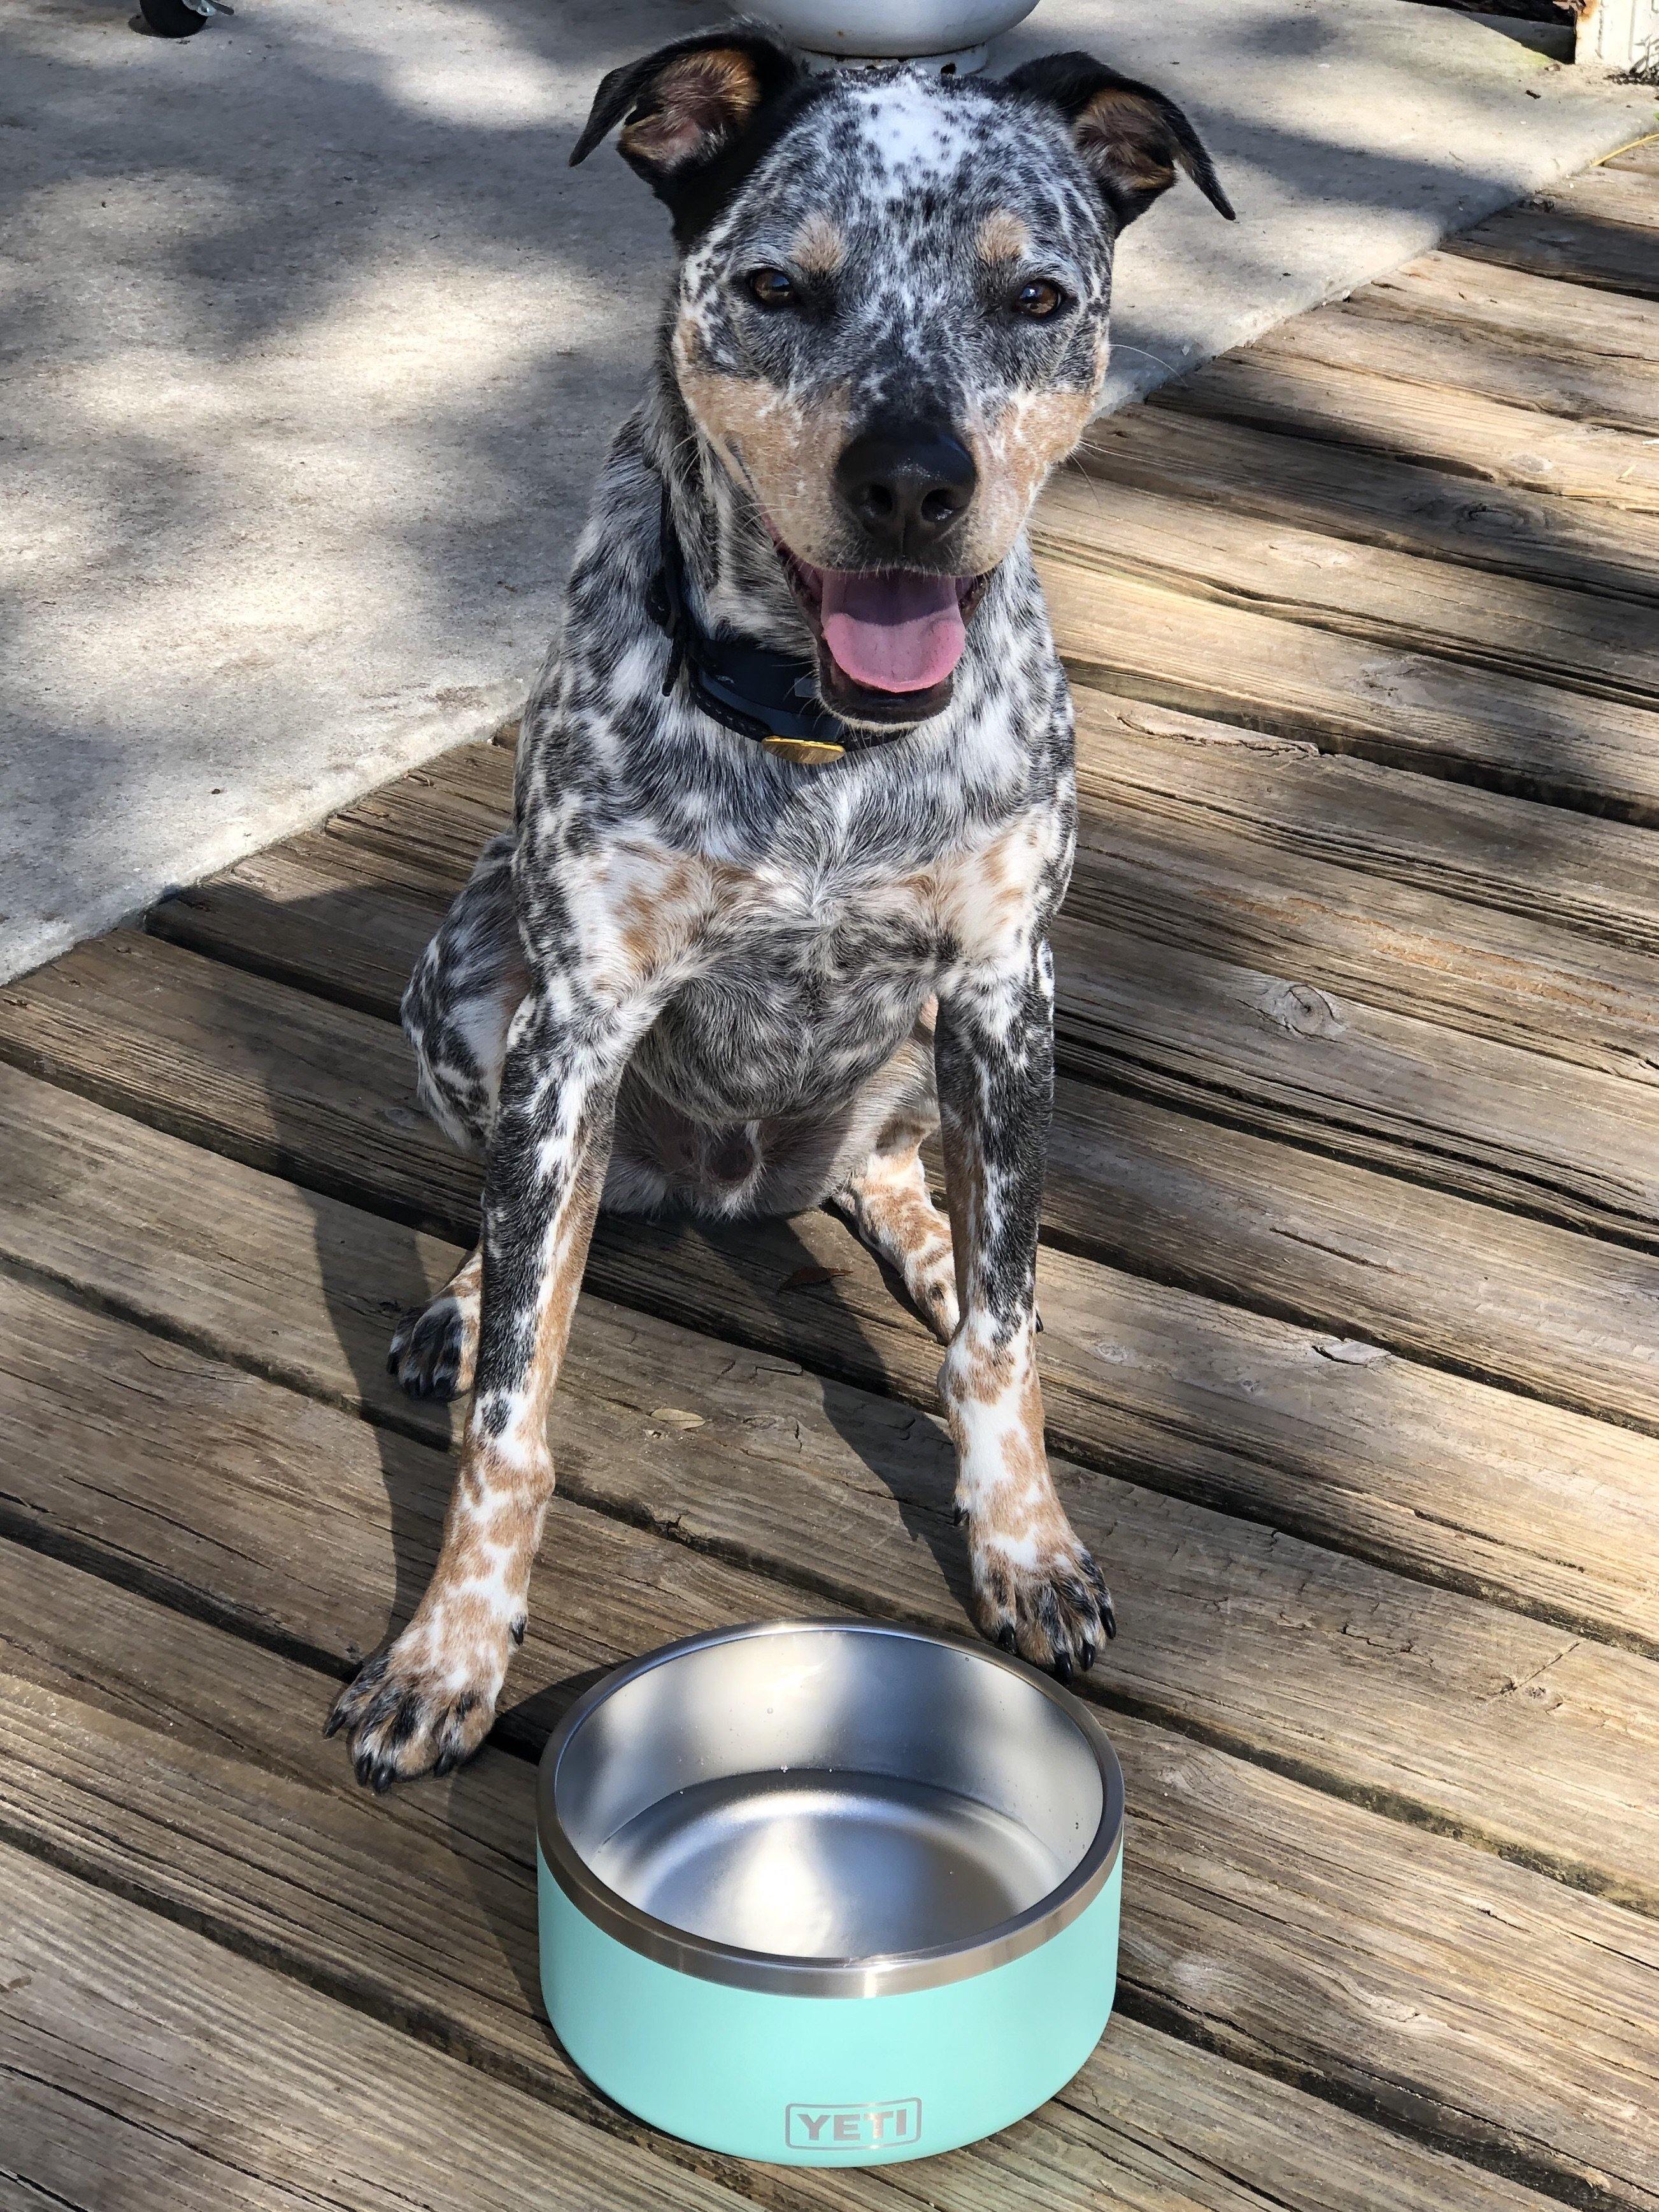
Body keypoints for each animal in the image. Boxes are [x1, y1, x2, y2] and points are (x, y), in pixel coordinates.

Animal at [327, 25, 1239, 1787]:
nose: (913, 484)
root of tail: (726, 1182)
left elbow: (1005, 1346)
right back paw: (471, 1295)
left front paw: (1025, 1544)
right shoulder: (572, 1026)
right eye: (776, 287)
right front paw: (448, 1649)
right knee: (525, 1233)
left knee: (900, 1182)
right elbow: (512, 1417)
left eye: (1036, 297)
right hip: (465, 982)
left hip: (953, 1051)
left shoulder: (1004, 986)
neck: (823, 738)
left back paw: (937, 1240)